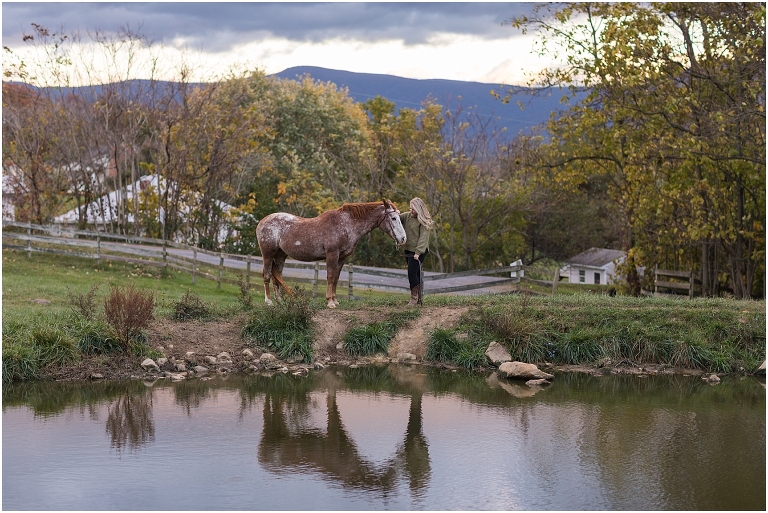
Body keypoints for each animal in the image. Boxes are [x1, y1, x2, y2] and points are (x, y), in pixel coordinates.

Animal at [256, 199, 407, 308]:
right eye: (393, 218)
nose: (403, 239)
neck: (346, 225)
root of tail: (261, 222)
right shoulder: (332, 255)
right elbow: (330, 276)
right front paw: (329, 302)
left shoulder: (341, 258)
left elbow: (335, 278)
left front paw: (335, 300)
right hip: (268, 254)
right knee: (267, 275)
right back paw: (269, 302)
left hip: (280, 255)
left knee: (276, 277)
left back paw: (280, 302)